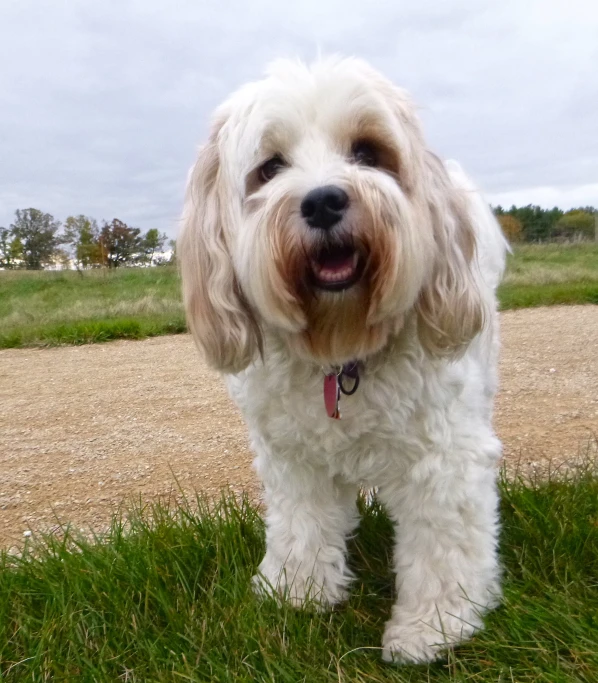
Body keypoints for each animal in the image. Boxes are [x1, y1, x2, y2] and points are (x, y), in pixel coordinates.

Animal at [179, 56, 510, 664]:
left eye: (368, 152)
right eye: (269, 168)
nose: (322, 200)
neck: (341, 350)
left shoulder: (444, 458)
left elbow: (443, 546)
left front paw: (434, 626)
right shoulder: (292, 458)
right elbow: (301, 524)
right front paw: (297, 590)